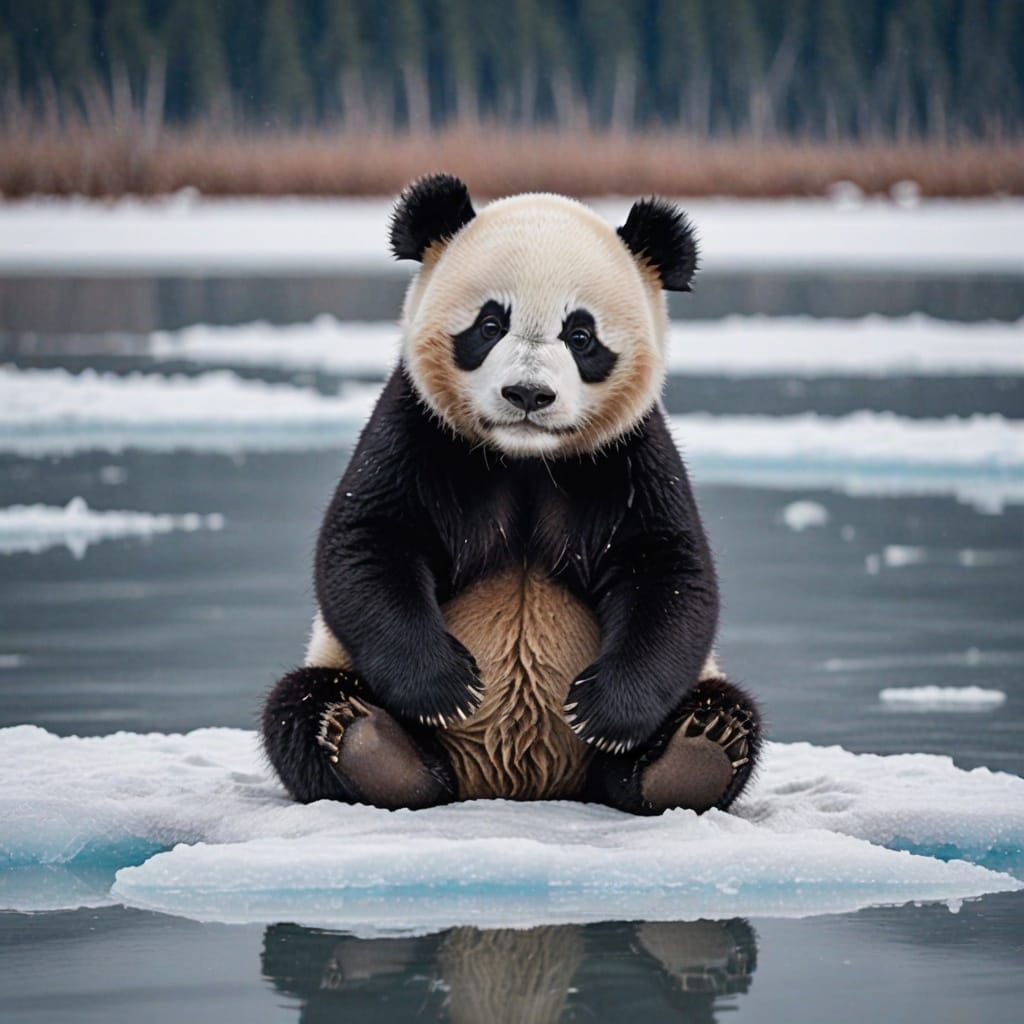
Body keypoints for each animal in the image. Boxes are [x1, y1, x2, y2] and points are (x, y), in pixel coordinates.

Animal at [262, 174, 761, 816]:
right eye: (489, 325)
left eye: (581, 335)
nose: (528, 394)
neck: (525, 458)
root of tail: (514, 780)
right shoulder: (418, 430)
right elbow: (368, 543)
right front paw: (446, 687)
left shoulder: (627, 456)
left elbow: (670, 570)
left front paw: (602, 712)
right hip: (338, 668)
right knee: (298, 705)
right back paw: (371, 745)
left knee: (723, 710)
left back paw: (695, 750)